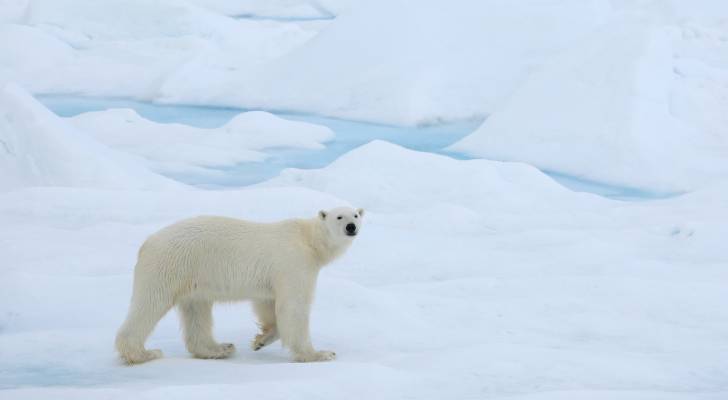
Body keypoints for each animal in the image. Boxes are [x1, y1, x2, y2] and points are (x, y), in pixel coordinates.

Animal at [116, 208, 364, 364]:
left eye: (355, 214)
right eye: (339, 216)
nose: (351, 226)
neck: (308, 239)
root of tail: (147, 243)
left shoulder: (272, 277)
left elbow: (267, 303)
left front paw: (260, 341)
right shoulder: (294, 263)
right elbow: (294, 307)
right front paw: (319, 354)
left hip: (194, 276)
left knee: (197, 310)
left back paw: (219, 348)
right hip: (170, 266)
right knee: (150, 304)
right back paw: (143, 353)